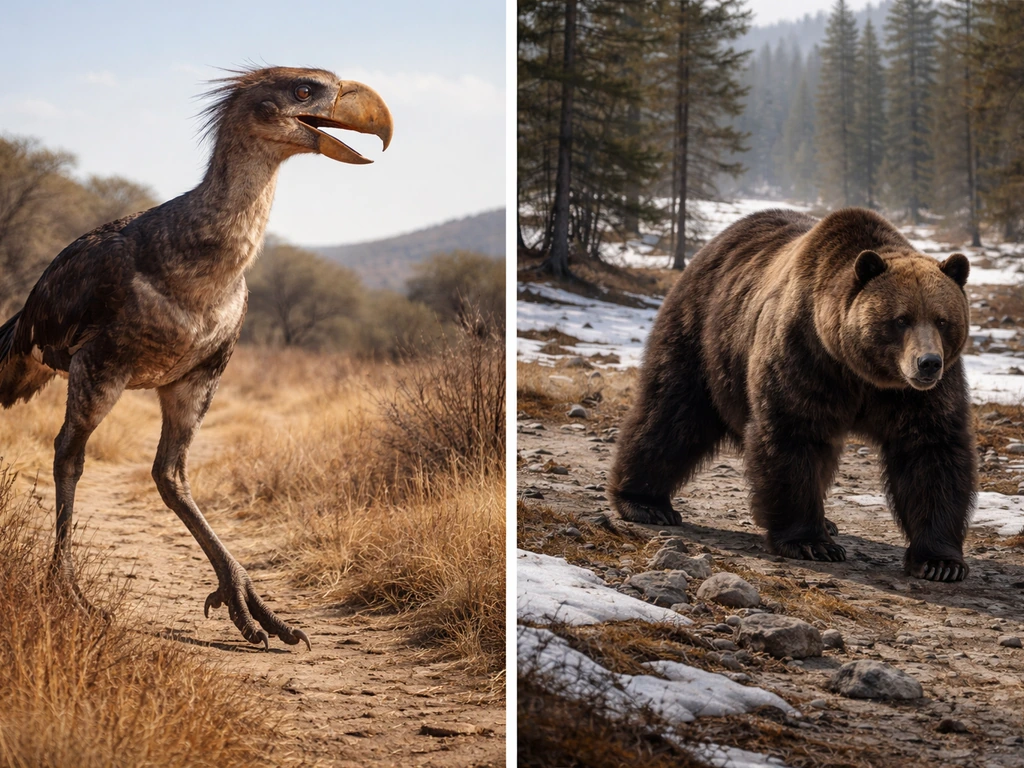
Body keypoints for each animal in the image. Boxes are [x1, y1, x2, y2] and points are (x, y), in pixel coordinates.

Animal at [608, 207, 976, 582]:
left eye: (942, 320)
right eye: (901, 319)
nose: (928, 363)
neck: (862, 372)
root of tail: (712, 247)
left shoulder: (916, 396)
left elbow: (929, 450)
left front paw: (940, 562)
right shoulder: (805, 355)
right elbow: (792, 433)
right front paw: (811, 543)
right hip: (702, 335)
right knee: (672, 412)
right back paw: (645, 502)